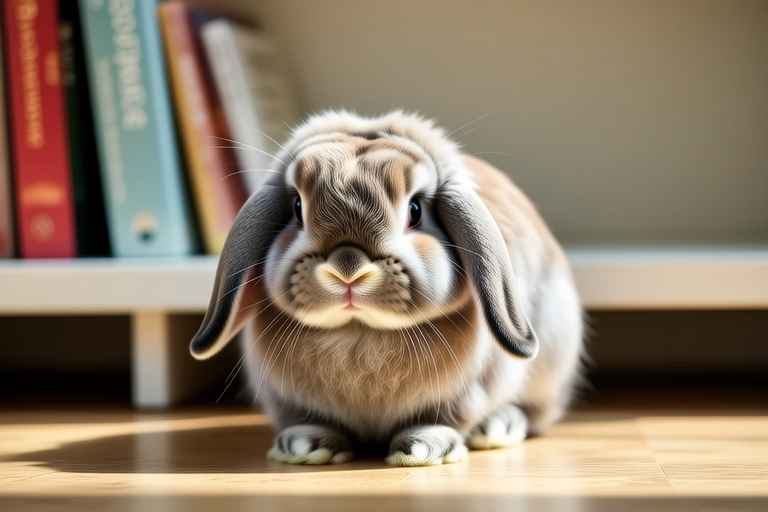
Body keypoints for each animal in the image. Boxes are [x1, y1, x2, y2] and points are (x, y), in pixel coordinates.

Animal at [190, 110, 584, 466]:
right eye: (298, 207)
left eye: (415, 210)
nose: (347, 269)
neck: (359, 334)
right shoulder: (288, 399)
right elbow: (312, 422)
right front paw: (306, 447)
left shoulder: (464, 393)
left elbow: (441, 420)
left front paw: (423, 450)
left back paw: (498, 428)